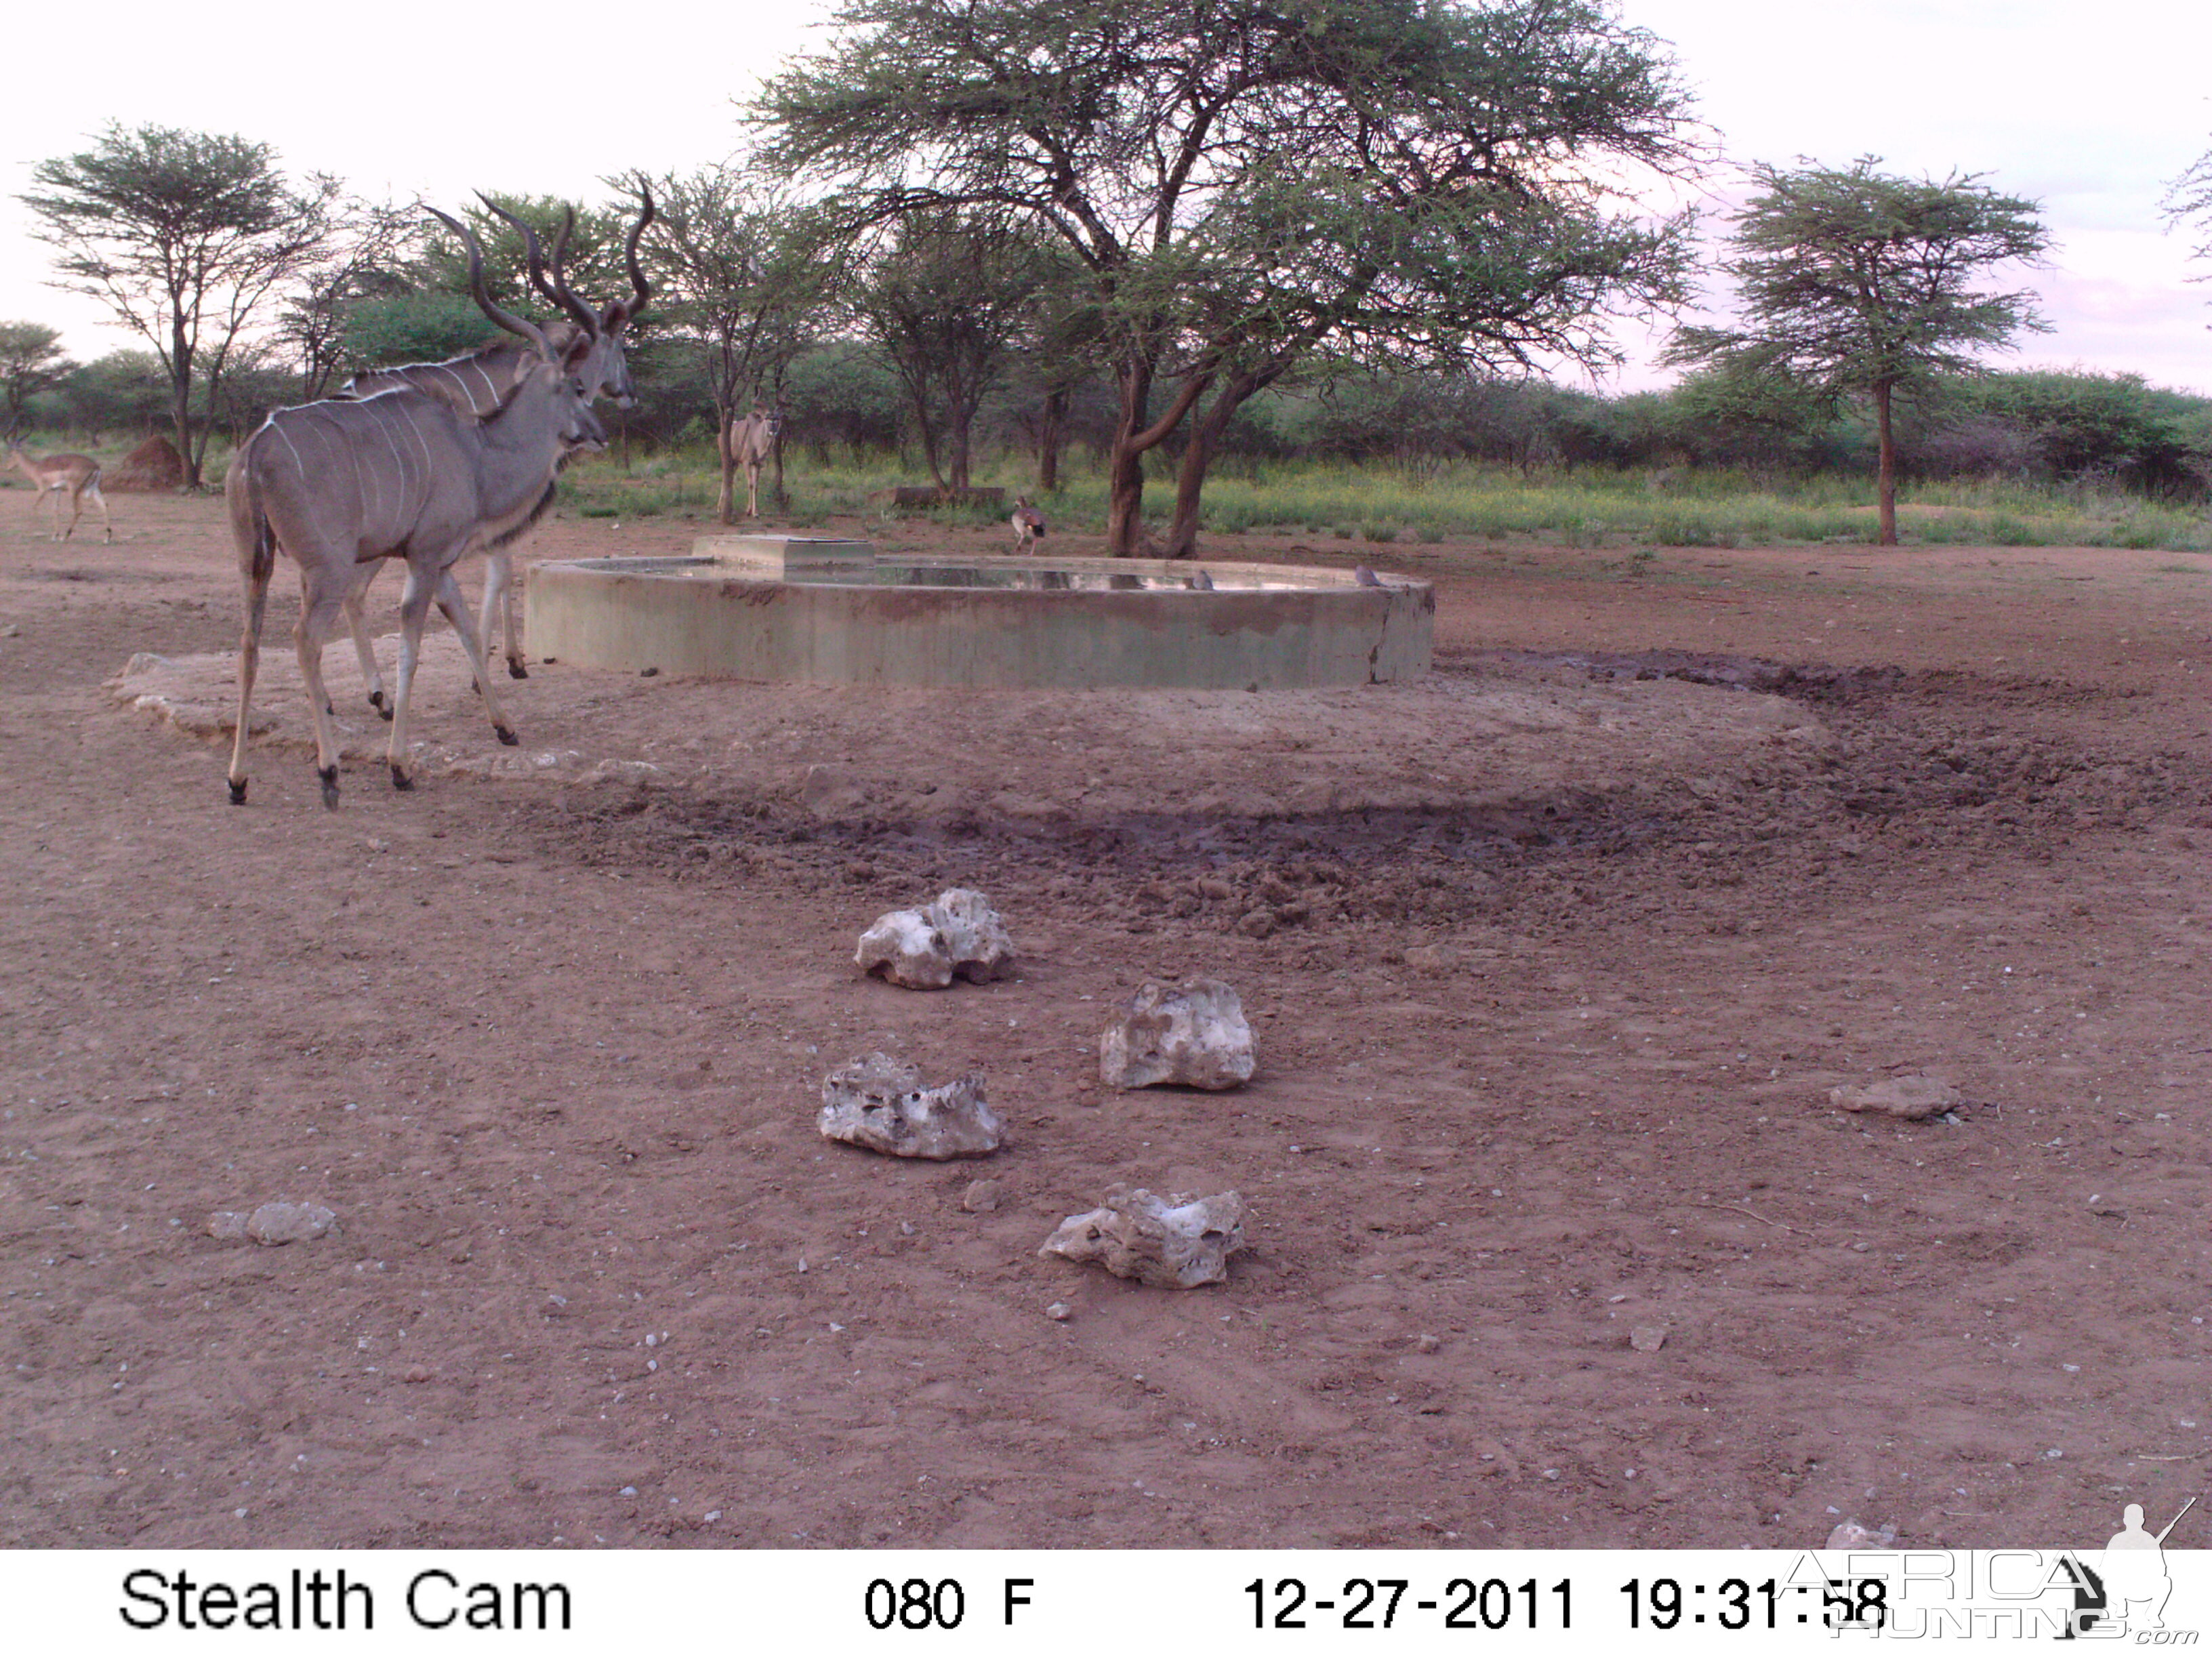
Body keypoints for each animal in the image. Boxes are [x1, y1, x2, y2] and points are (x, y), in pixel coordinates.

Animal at [224, 211, 606, 809]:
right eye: (576, 386)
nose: (598, 433)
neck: (475, 450)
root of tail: (256, 451)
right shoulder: (425, 559)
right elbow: (411, 646)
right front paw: (399, 765)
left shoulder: (440, 563)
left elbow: (467, 629)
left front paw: (505, 726)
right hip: (327, 569)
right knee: (303, 640)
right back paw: (329, 770)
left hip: (254, 563)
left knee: (248, 645)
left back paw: (239, 780)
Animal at [333, 191, 646, 690]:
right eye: (620, 345)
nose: (630, 392)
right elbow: (500, 573)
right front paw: (493, 668)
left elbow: (500, 571)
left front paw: (505, 661)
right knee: (352, 592)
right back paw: (377, 692)